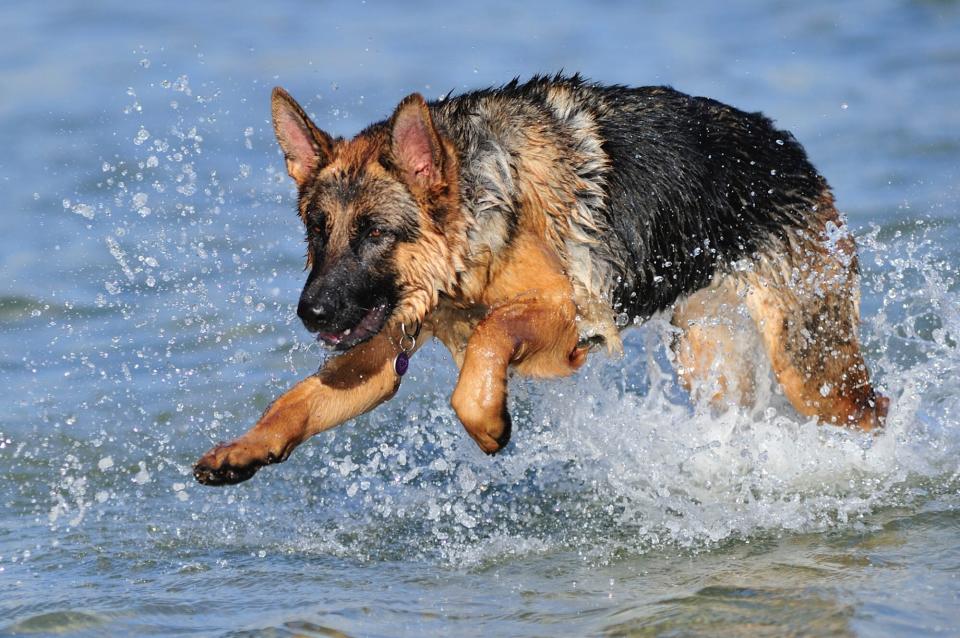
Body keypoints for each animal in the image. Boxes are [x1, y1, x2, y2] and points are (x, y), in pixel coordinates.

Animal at [193, 74, 884, 484]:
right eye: (318, 231)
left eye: (373, 233)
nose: (309, 312)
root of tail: (788, 150)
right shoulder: (382, 345)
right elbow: (298, 400)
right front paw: (244, 448)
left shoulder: (565, 316)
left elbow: (490, 339)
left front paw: (487, 421)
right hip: (709, 355)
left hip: (809, 370)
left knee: (871, 410)